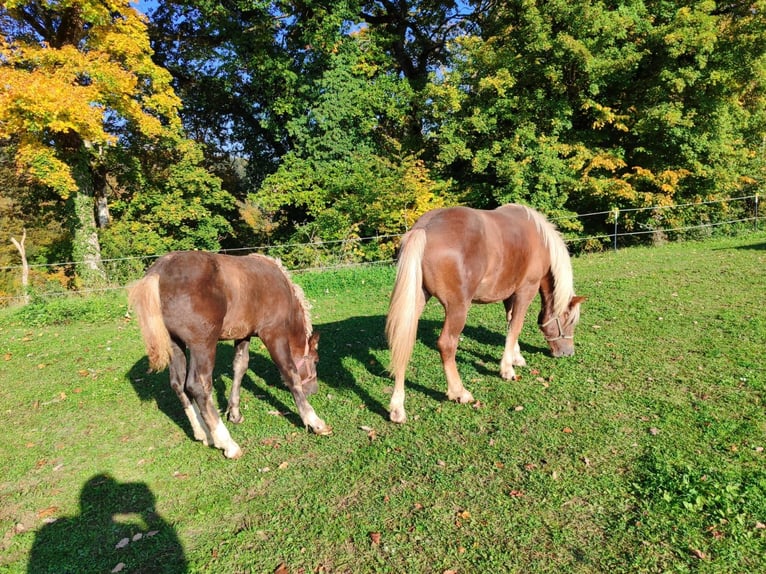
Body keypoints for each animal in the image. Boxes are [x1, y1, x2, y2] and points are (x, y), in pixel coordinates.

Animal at [128, 251, 331, 459]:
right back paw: (226, 443)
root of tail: (158, 273)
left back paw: (203, 433)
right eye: (316, 360)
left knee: (178, 384)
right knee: (197, 386)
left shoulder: (243, 335)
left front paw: (234, 413)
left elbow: (240, 367)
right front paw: (313, 421)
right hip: (203, 345)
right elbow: (290, 373)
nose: (314, 390)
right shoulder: (274, 333)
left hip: (175, 345)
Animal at [385, 204, 585, 423]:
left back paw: (397, 408)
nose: (568, 353)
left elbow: (510, 324)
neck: (540, 239)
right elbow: (516, 326)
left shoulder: (509, 294)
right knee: (446, 344)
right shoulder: (525, 291)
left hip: (417, 299)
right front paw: (507, 369)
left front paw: (516, 358)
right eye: (569, 321)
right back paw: (459, 392)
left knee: (402, 343)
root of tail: (425, 228)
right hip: (457, 308)